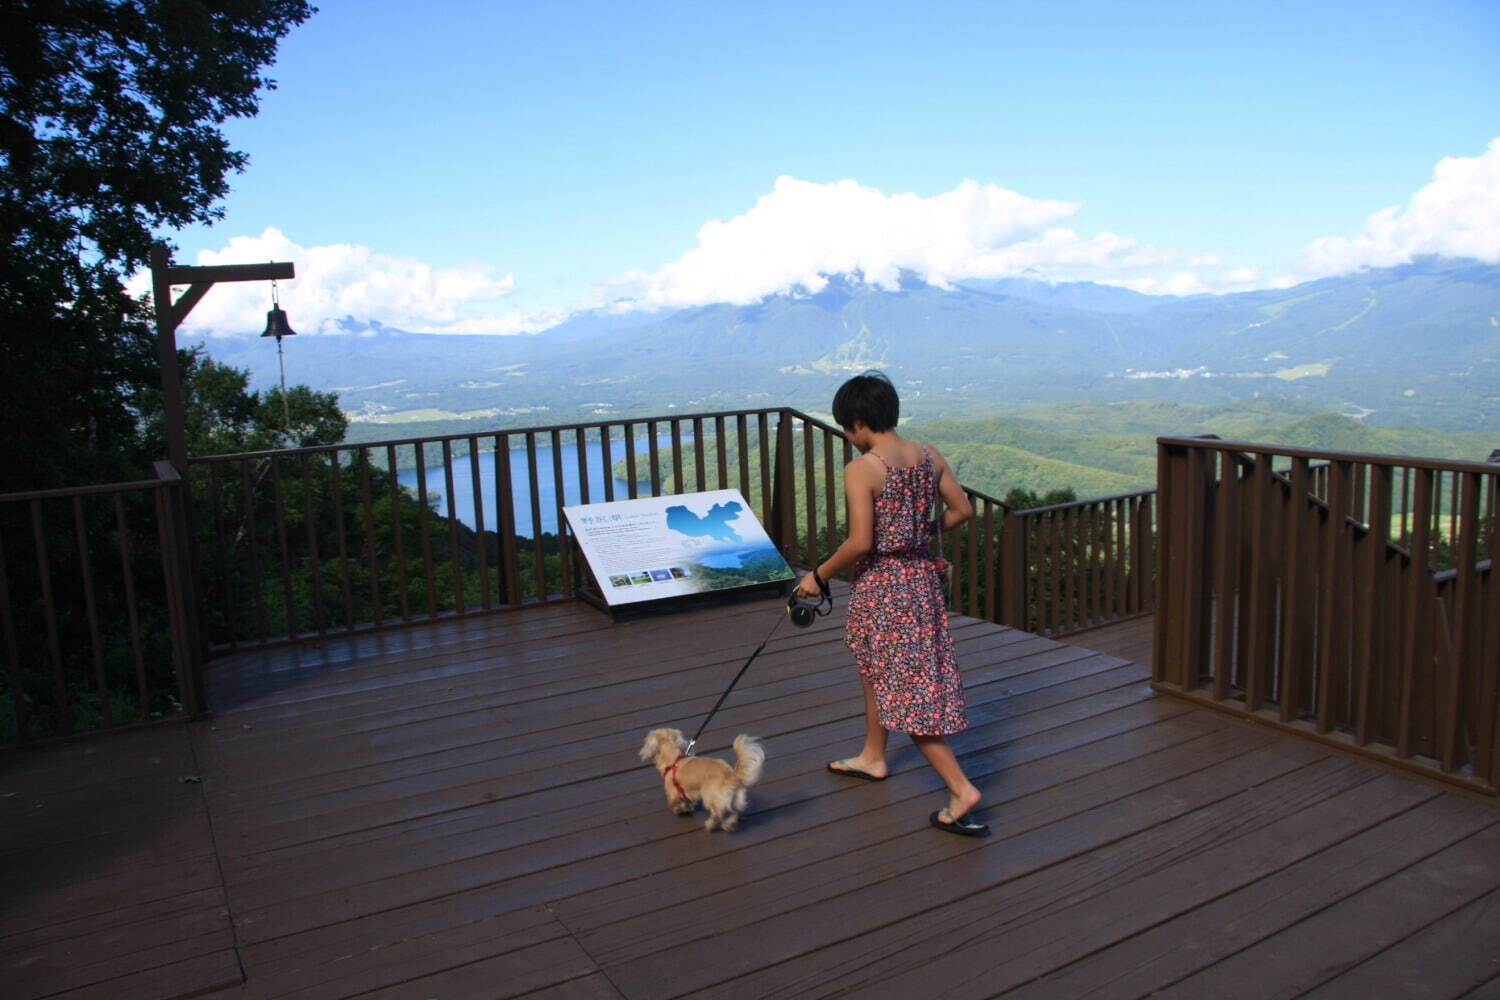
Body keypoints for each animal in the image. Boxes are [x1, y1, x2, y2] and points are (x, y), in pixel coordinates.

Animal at [639, 731, 768, 833]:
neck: (674, 760)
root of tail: (730, 775)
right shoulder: (688, 793)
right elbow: (687, 801)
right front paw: (687, 808)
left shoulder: (672, 794)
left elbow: (672, 805)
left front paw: (679, 810)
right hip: (734, 799)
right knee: (734, 812)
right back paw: (728, 824)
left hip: (708, 797)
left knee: (717, 814)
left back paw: (710, 825)